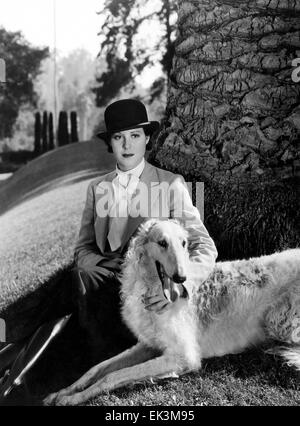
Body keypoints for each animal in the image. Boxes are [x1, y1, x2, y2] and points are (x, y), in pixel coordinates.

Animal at [44, 220, 300, 406]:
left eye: (184, 243)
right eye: (161, 243)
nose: (181, 278)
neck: (152, 290)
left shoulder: (183, 356)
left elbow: (112, 376)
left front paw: (71, 399)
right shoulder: (148, 344)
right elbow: (97, 368)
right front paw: (61, 393)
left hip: (277, 319)